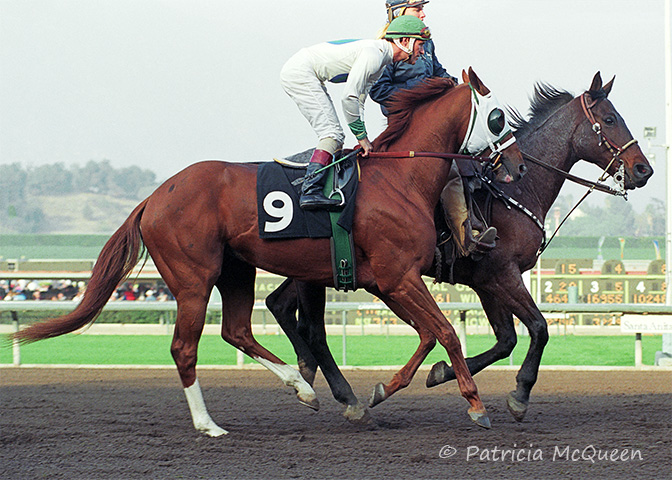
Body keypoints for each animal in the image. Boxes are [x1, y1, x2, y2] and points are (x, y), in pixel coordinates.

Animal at [10, 69, 524, 436]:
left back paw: (303, 388)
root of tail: (153, 197)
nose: (517, 166)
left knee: (237, 330)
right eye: (498, 115)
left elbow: (430, 334)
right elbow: (445, 332)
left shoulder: (387, 282)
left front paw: (383, 390)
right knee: (185, 348)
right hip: (194, 279)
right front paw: (475, 405)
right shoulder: (397, 277)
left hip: (236, 270)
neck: (400, 178)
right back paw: (210, 425)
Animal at [262, 72, 652, 424]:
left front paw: (442, 373)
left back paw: (305, 375)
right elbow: (538, 328)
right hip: (316, 272)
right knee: (310, 328)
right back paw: (331, 389)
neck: (515, 190)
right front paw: (519, 394)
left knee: (277, 304)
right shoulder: (502, 274)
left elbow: (506, 340)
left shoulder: (485, 281)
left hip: (316, 269)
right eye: (610, 119)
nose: (643, 170)